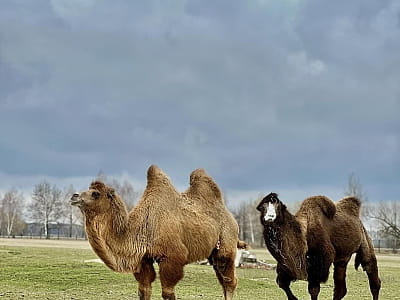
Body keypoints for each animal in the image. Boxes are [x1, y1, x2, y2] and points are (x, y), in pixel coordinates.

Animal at [70, 165, 245, 298]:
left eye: (96, 194)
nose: (74, 196)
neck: (142, 229)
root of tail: (231, 217)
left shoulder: (173, 257)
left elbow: (168, 293)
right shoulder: (144, 260)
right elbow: (144, 290)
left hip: (226, 246)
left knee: (229, 281)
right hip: (212, 253)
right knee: (223, 280)